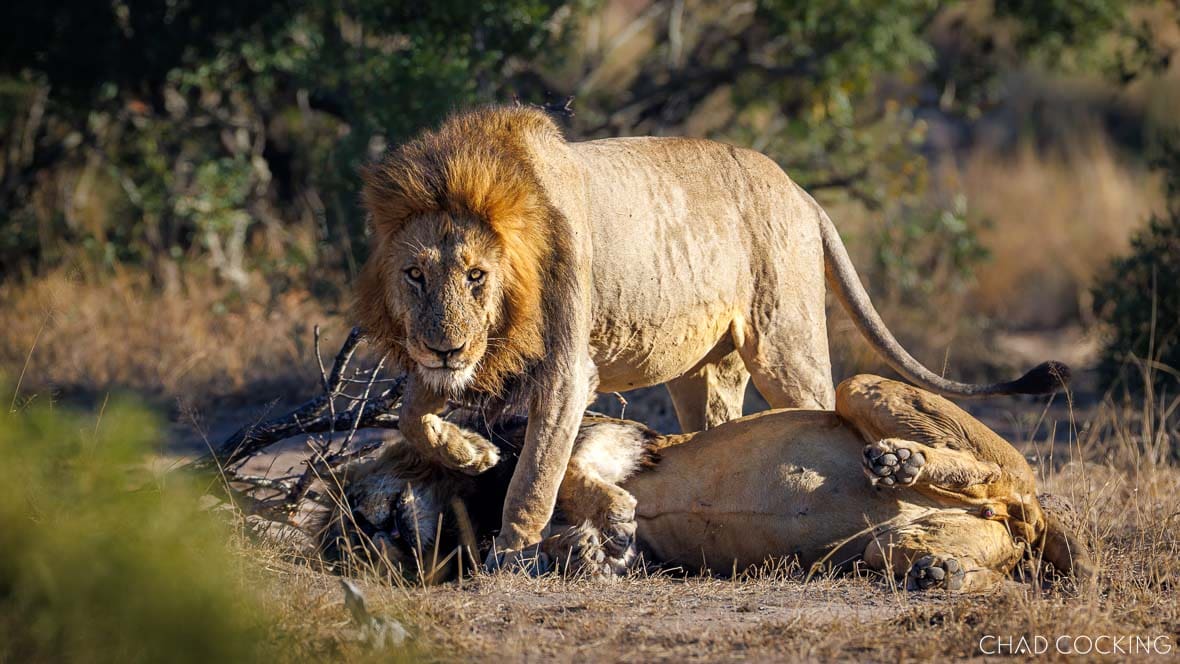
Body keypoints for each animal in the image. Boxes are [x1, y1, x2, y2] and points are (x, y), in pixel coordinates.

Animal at [317, 375, 1093, 592]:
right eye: (347, 542)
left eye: (354, 512)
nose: (374, 535)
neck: (465, 512)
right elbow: (573, 542)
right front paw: (592, 552)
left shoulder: (607, 439)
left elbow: (564, 482)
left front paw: (614, 526)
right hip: (903, 544)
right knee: (989, 551)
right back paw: (944, 574)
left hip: (864, 386)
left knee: (1009, 474)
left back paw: (900, 463)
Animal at [354, 105, 1070, 563]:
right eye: (415, 275)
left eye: (477, 275)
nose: (445, 345)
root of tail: (800, 190)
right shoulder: (460, 361)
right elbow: (412, 414)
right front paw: (472, 453)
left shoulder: (564, 370)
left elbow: (537, 472)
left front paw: (514, 552)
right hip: (704, 370)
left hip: (784, 343)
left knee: (833, 412)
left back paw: (894, 468)